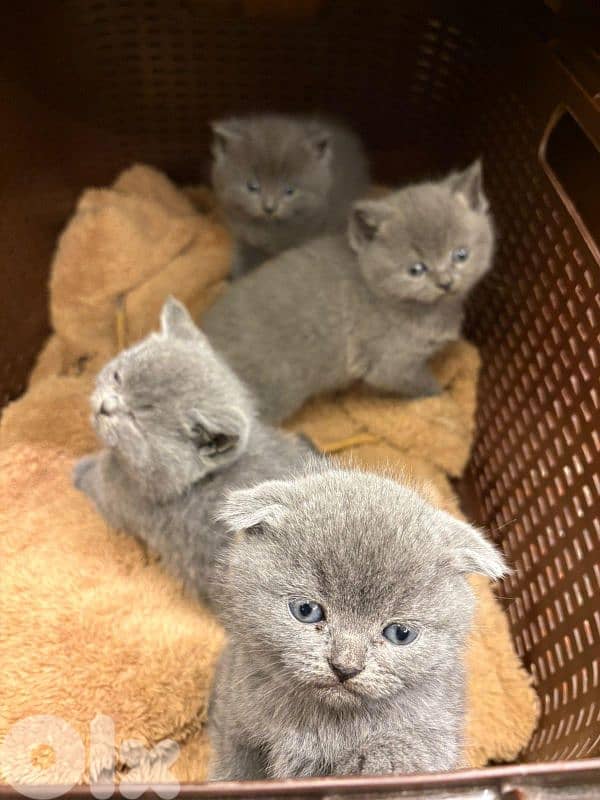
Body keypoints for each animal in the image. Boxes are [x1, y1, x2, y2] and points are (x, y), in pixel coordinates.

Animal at [73, 297, 314, 607]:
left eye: (137, 419)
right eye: (117, 377)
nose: (105, 406)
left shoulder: (121, 497)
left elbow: (95, 483)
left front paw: (78, 470)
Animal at [202, 160, 493, 422]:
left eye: (461, 254)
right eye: (416, 269)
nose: (446, 282)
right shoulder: (391, 364)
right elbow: (424, 385)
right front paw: (441, 400)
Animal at [208, 463, 508, 780]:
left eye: (400, 633)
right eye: (306, 610)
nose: (345, 667)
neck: (326, 725)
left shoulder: (435, 735)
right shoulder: (235, 721)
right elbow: (236, 768)